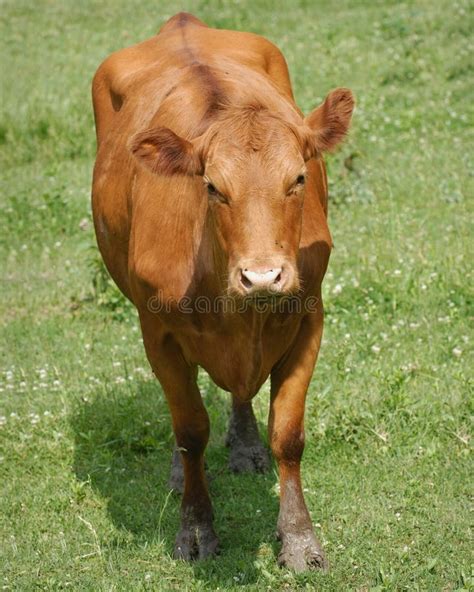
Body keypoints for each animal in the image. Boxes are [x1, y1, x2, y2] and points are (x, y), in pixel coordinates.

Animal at [91, 12, 352, 568]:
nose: (263, 276)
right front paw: (195, 528)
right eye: (212, 187)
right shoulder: (158, 330)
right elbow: (190, 430)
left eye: (299, 178)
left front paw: (299, 539)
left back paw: (246, 445)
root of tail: (182, 23)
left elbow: (288, 435)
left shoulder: (309, 316)